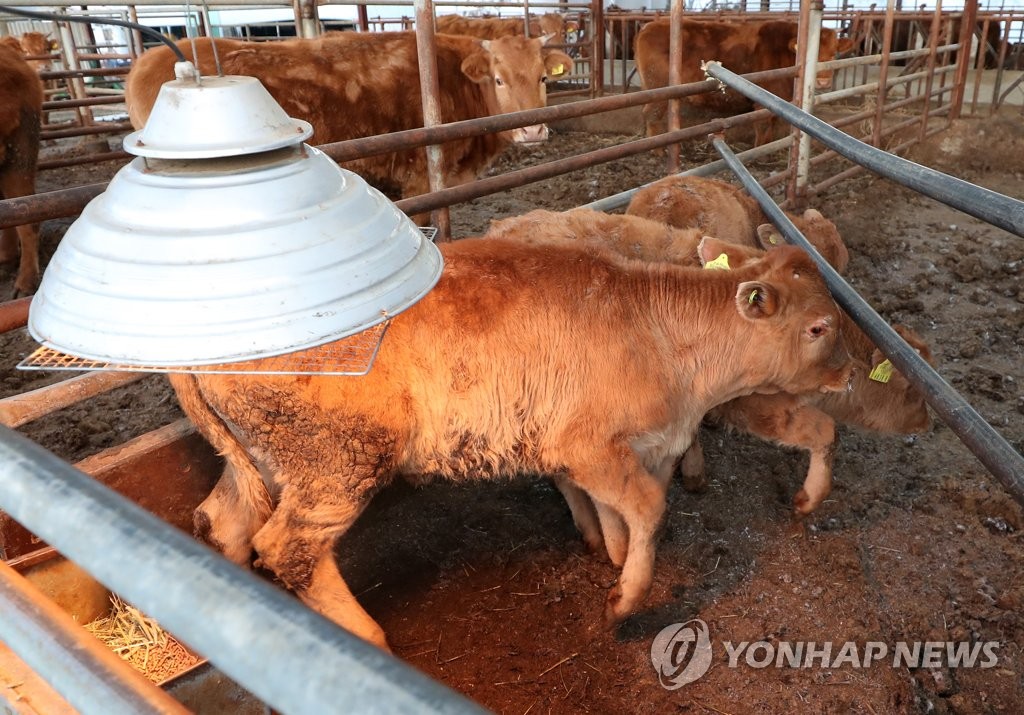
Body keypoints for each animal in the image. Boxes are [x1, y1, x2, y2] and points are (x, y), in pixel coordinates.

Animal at [169, 233, 856, 647]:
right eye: (819, 327)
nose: (851, 372)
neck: (667, 342)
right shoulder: (586, 445)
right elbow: (648, 509)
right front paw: (624, 597)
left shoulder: (628, 447)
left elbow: (621, 512)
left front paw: (608, 551)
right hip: (339, 459)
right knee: (288, 546)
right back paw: (366, 638)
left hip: (265, 458)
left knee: (224, 521)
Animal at [638, 19, 847, 145]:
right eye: (813, 55)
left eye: (833, 54)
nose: (822, 82)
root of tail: (650, 25)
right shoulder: (763, 102)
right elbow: (763, 127)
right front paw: (760, 150)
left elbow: (771, 125)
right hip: (658, 90)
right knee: (651, 115)